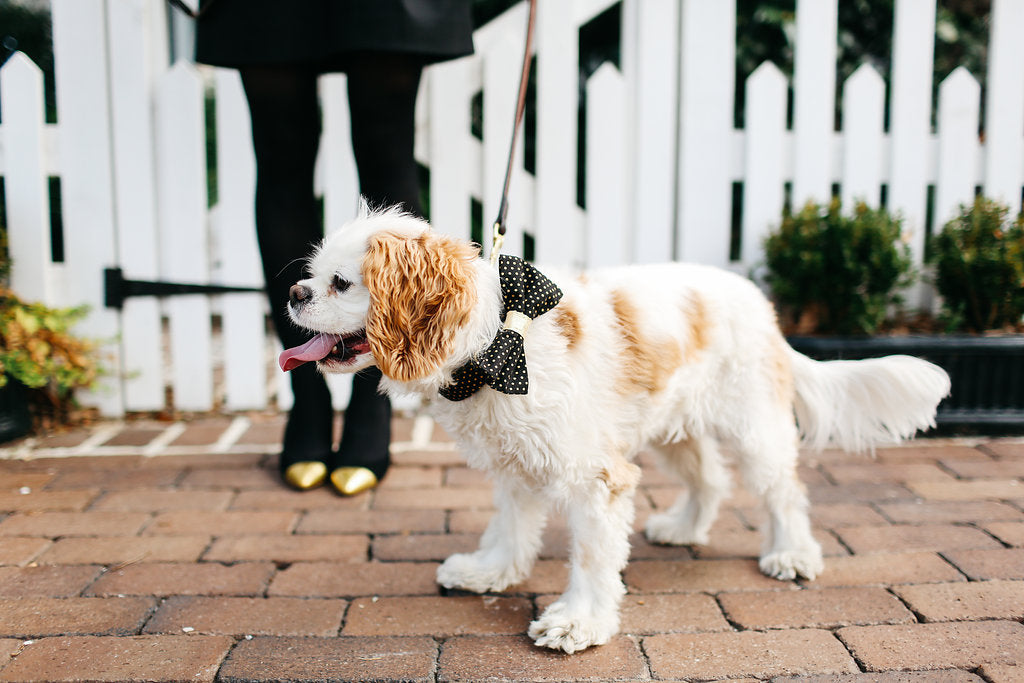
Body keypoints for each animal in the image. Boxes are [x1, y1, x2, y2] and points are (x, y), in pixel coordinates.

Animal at [280, 205, 950, 655]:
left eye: (342, 282)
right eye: (313, 273)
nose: (292, 291)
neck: (493, 343)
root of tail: (765, 310)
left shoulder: (597, 478)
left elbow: (593, 557)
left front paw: (578, 622)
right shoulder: (516, 467)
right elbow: (511, 529)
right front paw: (491, 572)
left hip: (754, 428)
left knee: (783, 493)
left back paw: (791, 553)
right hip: (673, 430)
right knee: (709, 480)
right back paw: (684, 529)